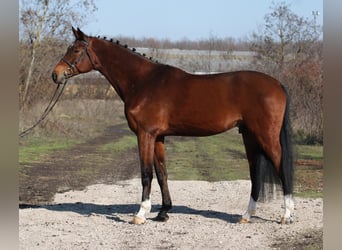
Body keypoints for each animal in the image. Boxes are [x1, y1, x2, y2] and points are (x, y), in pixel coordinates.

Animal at [52, 27, 294, 225]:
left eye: (75, 50)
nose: (56, 74)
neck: (143, 81)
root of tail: (278, 84)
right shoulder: (158, 137)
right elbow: (162, 173)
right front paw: (163, 212)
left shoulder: (145, 134)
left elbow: (146, 173)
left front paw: (141, 214)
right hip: (249, 136)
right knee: (255, 174)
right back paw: (246, 216)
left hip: (266, 136)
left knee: (282, 167)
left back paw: (286, 216)